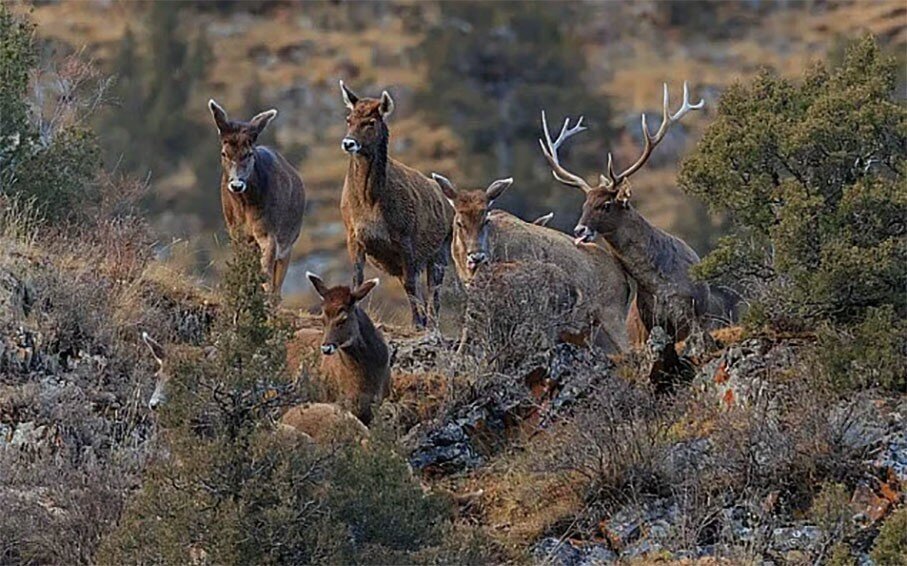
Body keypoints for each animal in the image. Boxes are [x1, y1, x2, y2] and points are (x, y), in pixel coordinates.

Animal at [207, 100, 306, 300]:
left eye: (249, 153)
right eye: (224, 153)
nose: (237, 185)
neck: (245, 209)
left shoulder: (270, 233)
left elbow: (266, 274)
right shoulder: (236, 232)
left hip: (288, 244)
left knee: (277, 287)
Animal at [338, 80, 458, 328]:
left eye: (371, 122)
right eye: (348, 119)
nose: (348, 143)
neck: (370, 203)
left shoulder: (406, 237)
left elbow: (412, 285)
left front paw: (416, 323)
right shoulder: (353, 235)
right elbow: (357, 280)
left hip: (440, 249)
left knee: (434, 290)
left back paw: (429, 322)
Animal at [540, 81, 736, 344]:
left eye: (606, 205)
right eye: (584, 205)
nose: (579, 229)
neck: (661, 285)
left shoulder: (694, 317)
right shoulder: (649, 322)